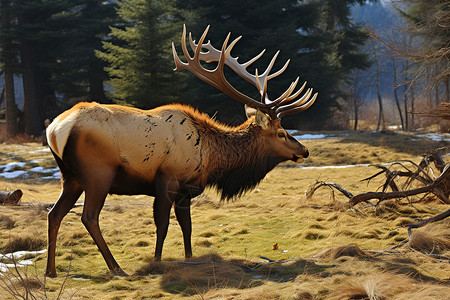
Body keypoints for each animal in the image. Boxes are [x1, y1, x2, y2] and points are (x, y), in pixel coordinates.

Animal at [44, 24, 316, 278]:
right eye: (281, 133)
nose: (304, 150)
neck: (211, 157)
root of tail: (54, 129)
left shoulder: (186, 189)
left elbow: (187, 226)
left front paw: (189, 258)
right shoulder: (167, 179)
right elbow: (163, 225)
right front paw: (156, 261)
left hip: (70, 176)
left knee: (54, 214)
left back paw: (51, 271)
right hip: (98, 173)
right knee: (89, 217)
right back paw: (116, 267)